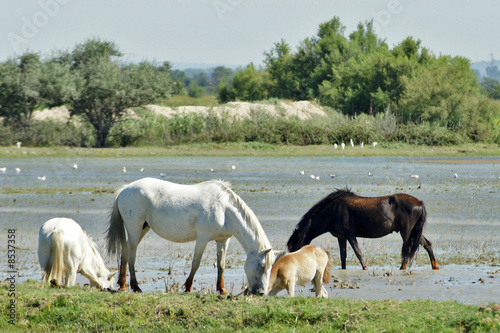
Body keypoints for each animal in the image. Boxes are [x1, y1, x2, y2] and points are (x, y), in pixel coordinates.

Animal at [106, 178, 278, 294]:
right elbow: (196, 262)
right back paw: (134, 286)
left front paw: (222, 290)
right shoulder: (202, 238)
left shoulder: (223, 240)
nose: (261, 293)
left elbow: (221, 264)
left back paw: (123, 285)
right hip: (134, 228)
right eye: (262, 266)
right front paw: (188, 287)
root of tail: (125, 189)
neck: (224, 209)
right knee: (131, 255)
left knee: (125, 253)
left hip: (143, 228)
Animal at [288, 188, 440, 268]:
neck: (333, 211)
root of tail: (419, 202)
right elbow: (343, 256)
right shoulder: (341, 237)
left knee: (408, 249)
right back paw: (435, 266)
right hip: (415, 231)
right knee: (427, 244)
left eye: (293, 247)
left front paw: (365, 268)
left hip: (406, 231)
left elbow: (358, 252)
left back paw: (402, 268)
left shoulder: (350, 234)